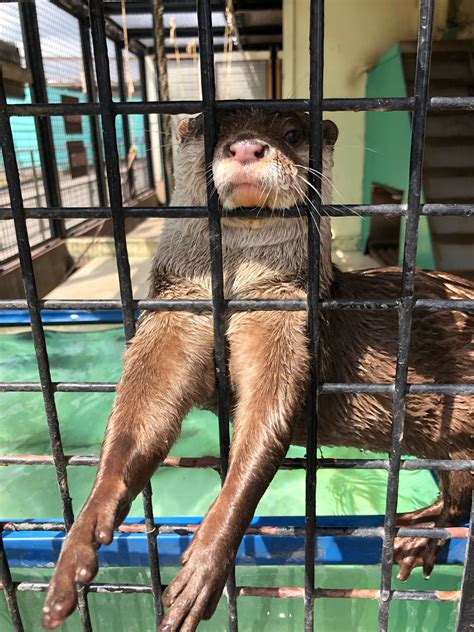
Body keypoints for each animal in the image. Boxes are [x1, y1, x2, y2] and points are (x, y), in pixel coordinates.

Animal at [42, 110, 472, 632]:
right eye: (208, 127)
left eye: (291, 134)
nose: (247, 146)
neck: (238, 287)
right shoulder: (176, 313)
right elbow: (136, 424)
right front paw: (78, 543)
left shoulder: (283, 323)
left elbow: (262, 431)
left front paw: (204, 565)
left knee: (460, 497)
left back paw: (418, 534)